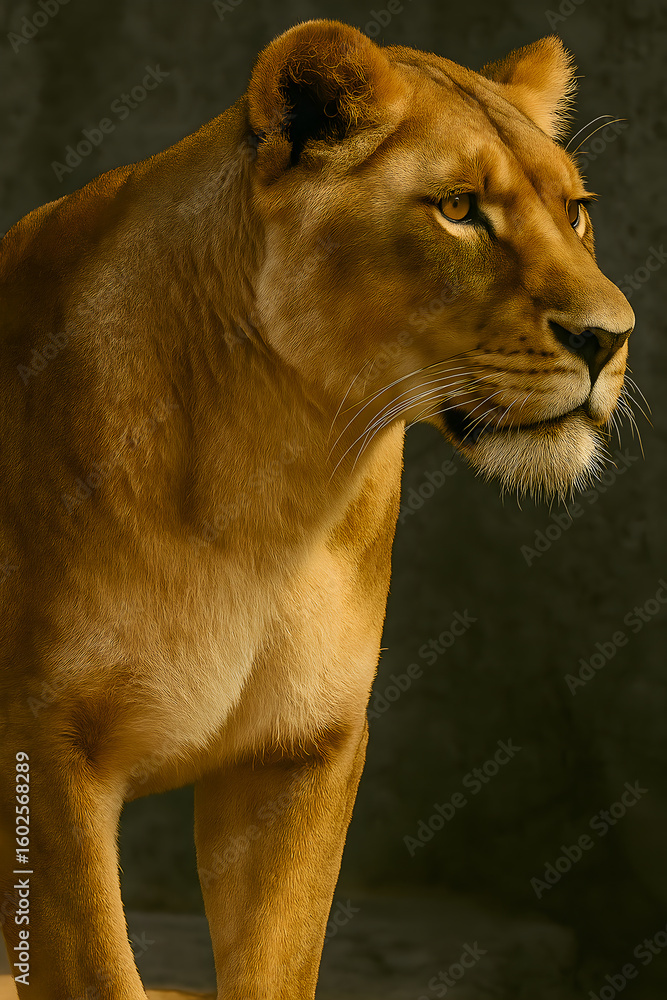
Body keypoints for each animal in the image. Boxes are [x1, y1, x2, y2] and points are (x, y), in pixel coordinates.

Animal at [0, 17, 634, 1000]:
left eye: (574, 210)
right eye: (459, 208)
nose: (612, 338)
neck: (274, 479)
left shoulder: (301, 751)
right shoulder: (47, 746)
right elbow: (98, 971)